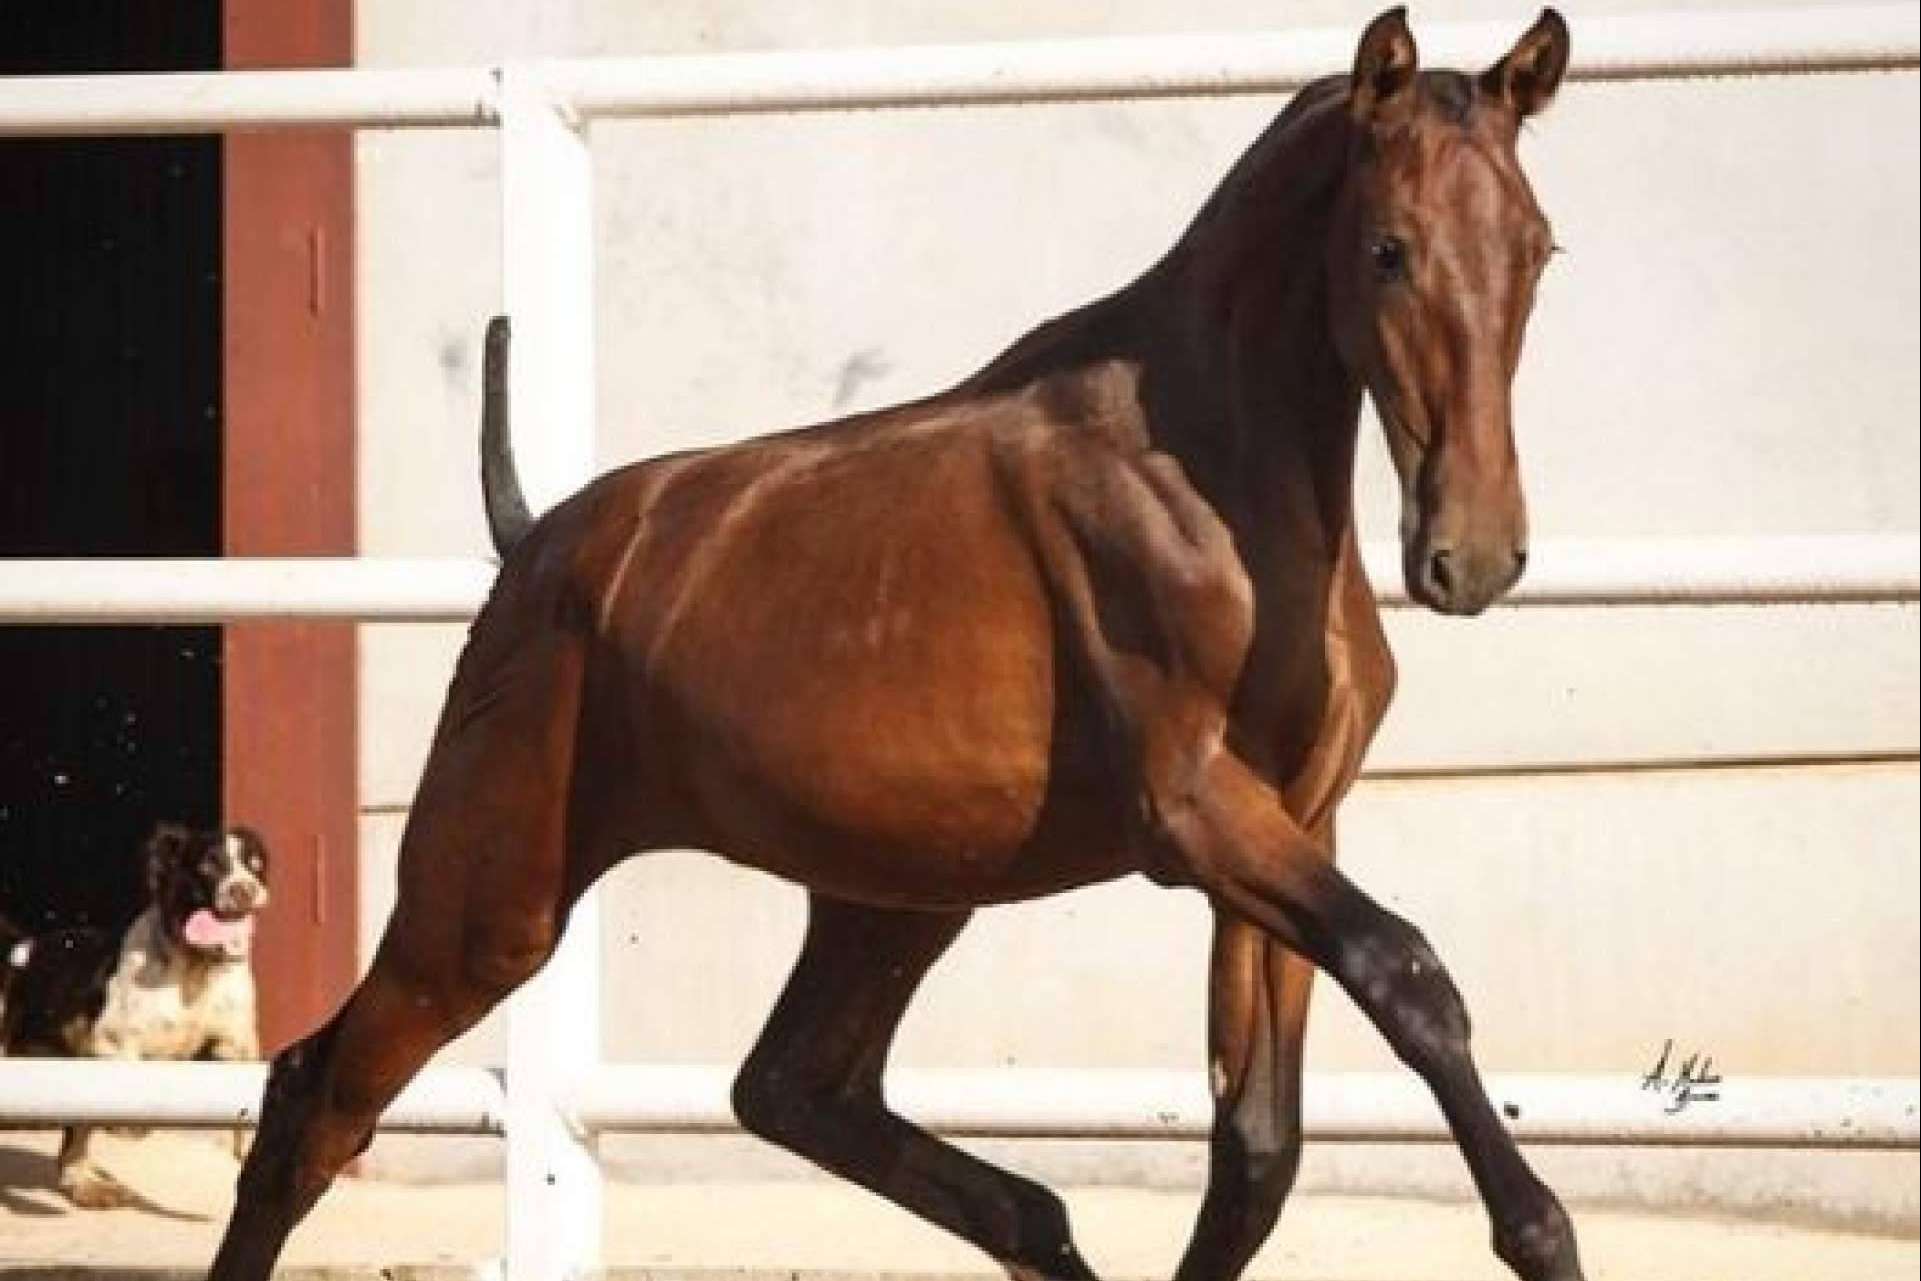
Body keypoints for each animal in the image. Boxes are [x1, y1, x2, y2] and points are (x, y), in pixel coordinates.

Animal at [211, 9, 1583, 1279]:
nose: (1472, 556)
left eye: (1536, 248)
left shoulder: (1300, 817)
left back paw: (1034, 1224)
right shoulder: (1194, 814)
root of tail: (534, 538)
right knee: (315, 1100)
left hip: (891, 897)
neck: (1209, 478)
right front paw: (1538, 1230)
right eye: (1387, 248)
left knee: (792, 1088)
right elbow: (1407, 975)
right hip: (487, 903)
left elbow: (1257, 1145)